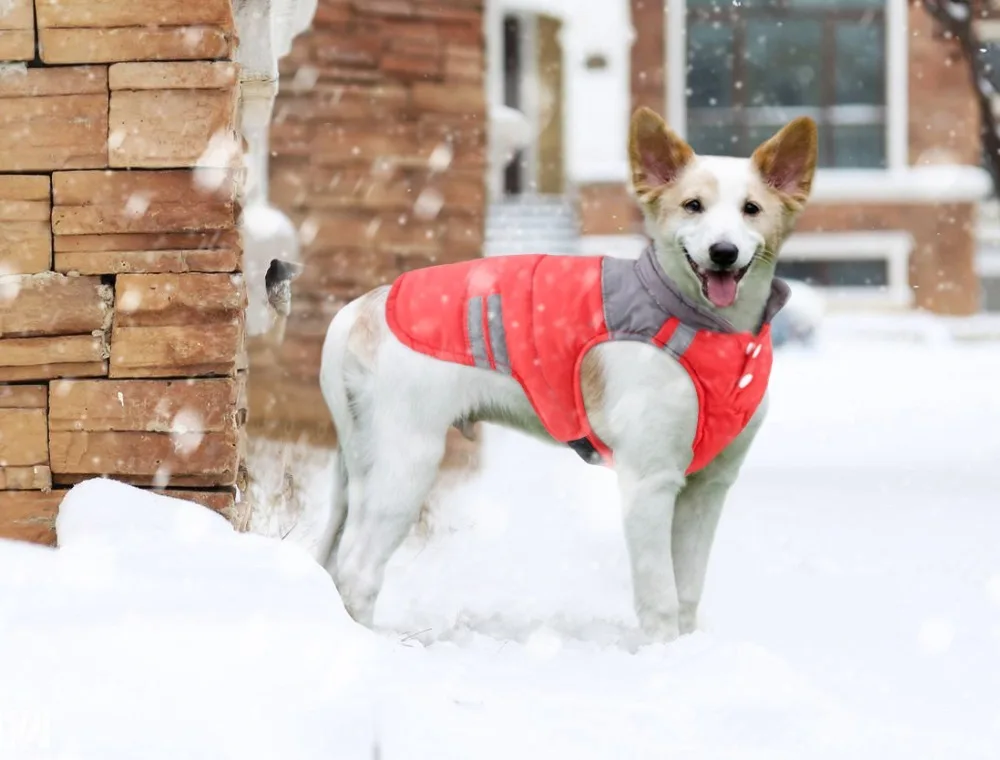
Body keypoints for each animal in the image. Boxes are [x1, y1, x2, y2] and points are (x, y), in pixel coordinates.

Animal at [316, 108, 816, 640]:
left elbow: (686, 592)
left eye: (751, 209)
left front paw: (685, 648)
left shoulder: (708, 488)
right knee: (358, 571)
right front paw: (661, 651)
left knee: (336, 562)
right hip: (406, 462)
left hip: (359, 466)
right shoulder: (649, 482)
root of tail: (363, 305)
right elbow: (660, 594)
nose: (723, 252)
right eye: (693, 206)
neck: (710, 327)